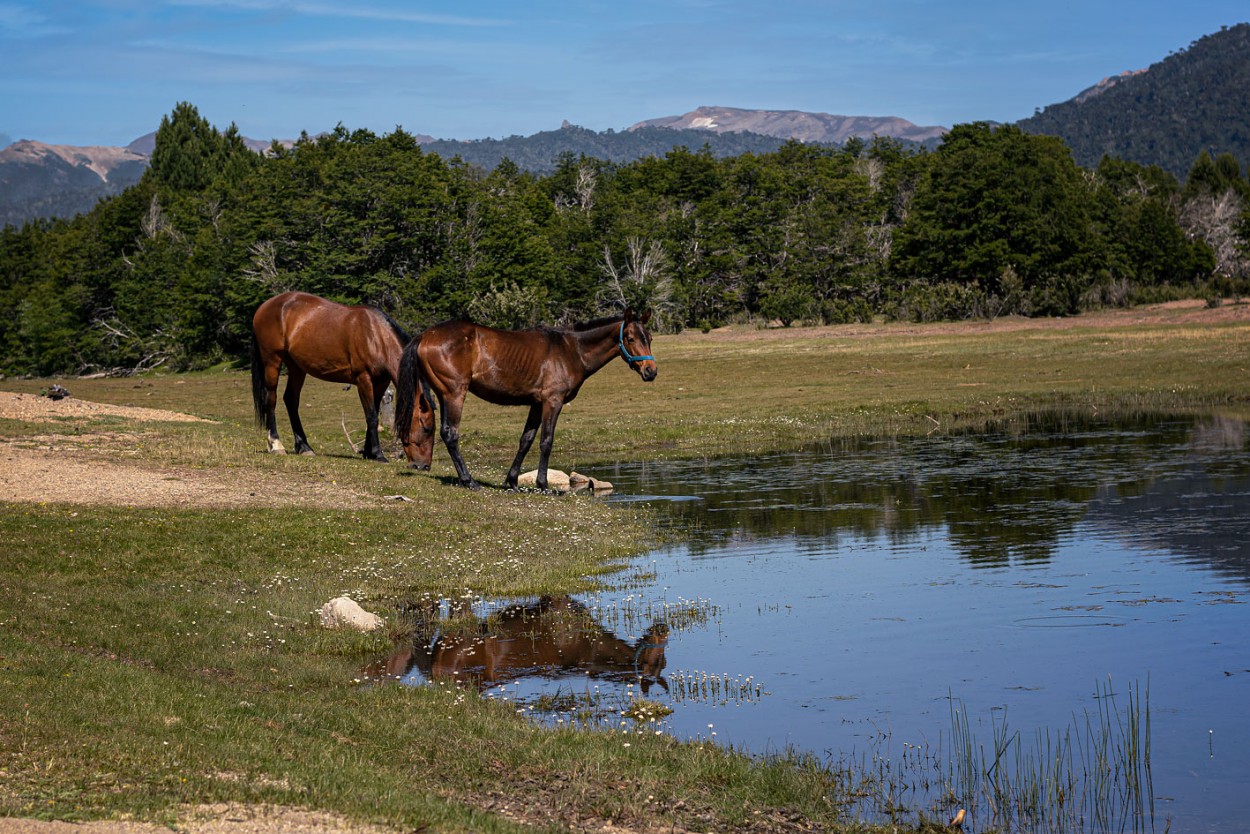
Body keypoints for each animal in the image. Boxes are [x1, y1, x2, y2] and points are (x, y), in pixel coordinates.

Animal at [248, 292, 435, 462]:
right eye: (426, 428)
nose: (423, 465)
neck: (376, 336)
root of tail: (264, 306)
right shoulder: (363, 380)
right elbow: (372, 417)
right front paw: (378, 454)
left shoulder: (380, 383)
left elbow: (372, 416)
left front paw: (368, 452)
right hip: (272, 361)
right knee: (271, 399)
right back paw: (276, 445)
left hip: (296, 368)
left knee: (291, 400)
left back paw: (304, 447)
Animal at [397, 308, 660, 490]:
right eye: (630, 338)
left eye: (649, 338)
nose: (651, 371)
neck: (571, 350)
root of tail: (425, 335)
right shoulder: (552, 402)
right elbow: (546, 441)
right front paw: (543, 484)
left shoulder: (536, 404)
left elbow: (526, 440)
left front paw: (512, 481)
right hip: (454, 394)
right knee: (450, 434)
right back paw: (468, 480)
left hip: (444, 395)